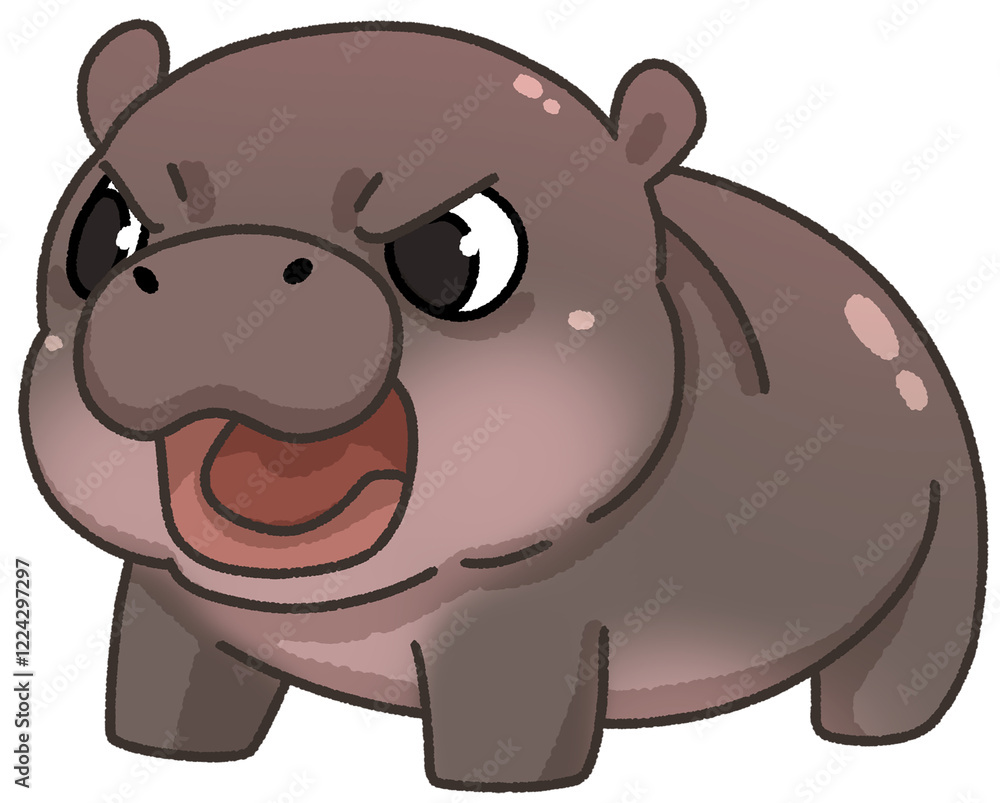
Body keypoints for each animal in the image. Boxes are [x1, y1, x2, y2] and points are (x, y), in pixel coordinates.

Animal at [20, 19, 986, 791]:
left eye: (459, 250)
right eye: (105, 227)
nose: (218, 272)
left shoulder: (522, 636)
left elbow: (503, 733)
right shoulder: (166, 607)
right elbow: (166, 694)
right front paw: (165, 760)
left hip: (945, 554)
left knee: (897, 670)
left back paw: (871, 741)